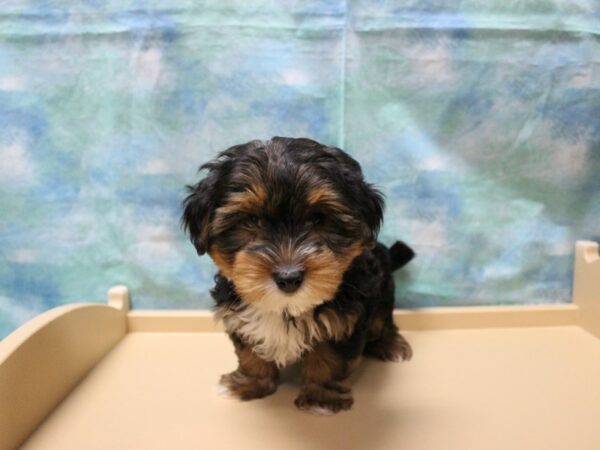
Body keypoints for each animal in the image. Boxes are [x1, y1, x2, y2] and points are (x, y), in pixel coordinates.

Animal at [183, 137, 414, 414]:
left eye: (318, 218)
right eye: (253, 219)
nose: (289, 276)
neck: (286, 308)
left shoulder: (344, 319)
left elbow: (329, 359)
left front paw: (321, 399)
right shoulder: (237, 314)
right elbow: (249, 352)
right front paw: (248, 384)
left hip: (382, 293)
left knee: (383, 321)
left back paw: (391, 345)